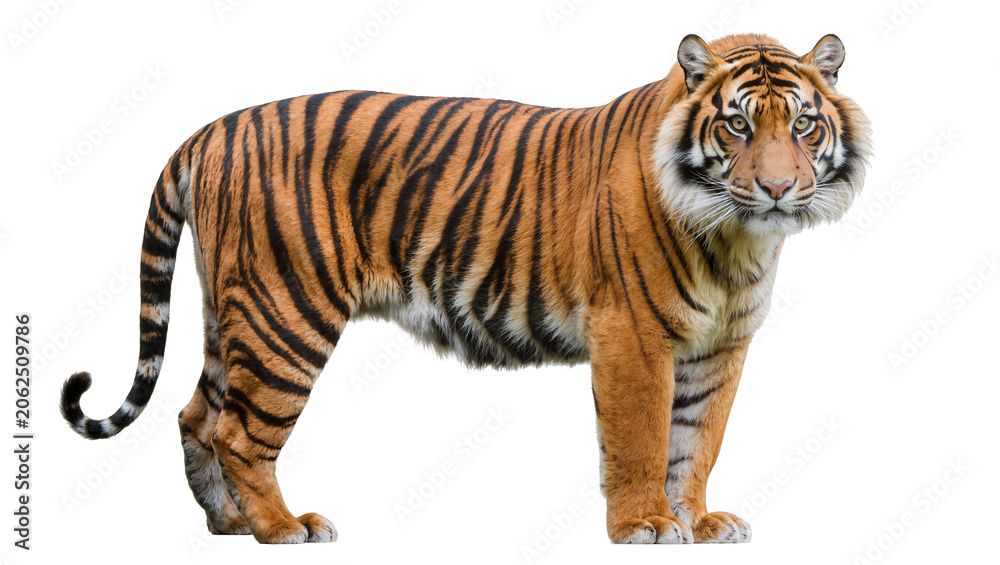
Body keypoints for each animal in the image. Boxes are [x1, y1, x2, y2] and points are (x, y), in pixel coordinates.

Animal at [60, 32, 872, 544]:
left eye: (803, 126)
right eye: (737, 126)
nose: (777, 188)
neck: (737, 238)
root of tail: (212, 128)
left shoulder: (718, 348)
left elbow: (696, 441)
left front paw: (698, 522)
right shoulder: (633, 336)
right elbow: (642, 439)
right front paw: (644, 525)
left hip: (230, 312)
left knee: (196, 414)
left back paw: (226, 524)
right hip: (284, 312)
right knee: (238, 430)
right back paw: (283, 529)